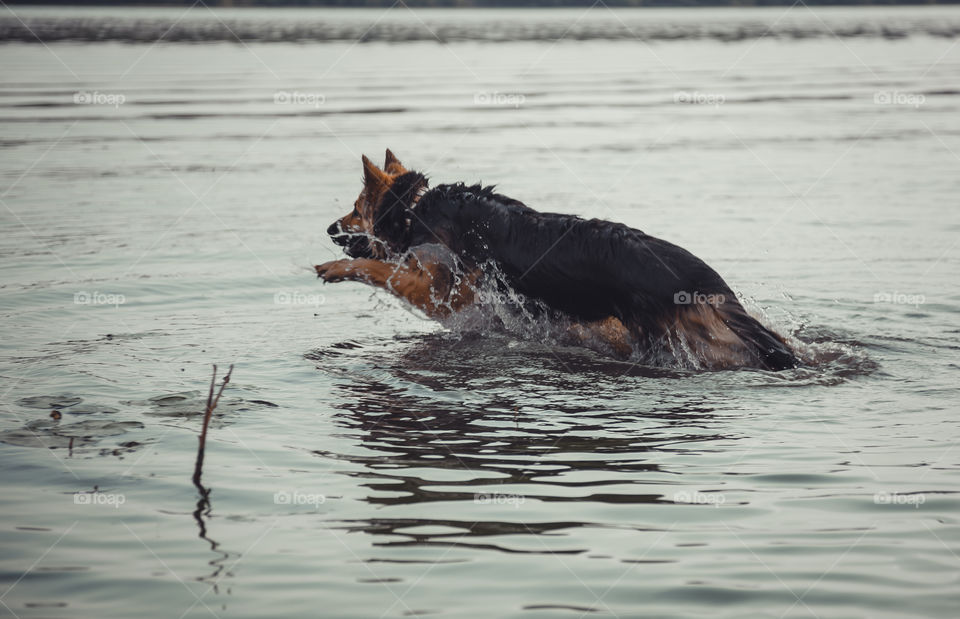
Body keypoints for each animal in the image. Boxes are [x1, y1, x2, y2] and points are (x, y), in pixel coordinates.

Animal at [318, 150, 800, 370]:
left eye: (355, 210)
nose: (328, 229)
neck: (415, 208)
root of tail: (699, 275)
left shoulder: (441, 289)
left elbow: (376, 269)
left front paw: (334, 269)